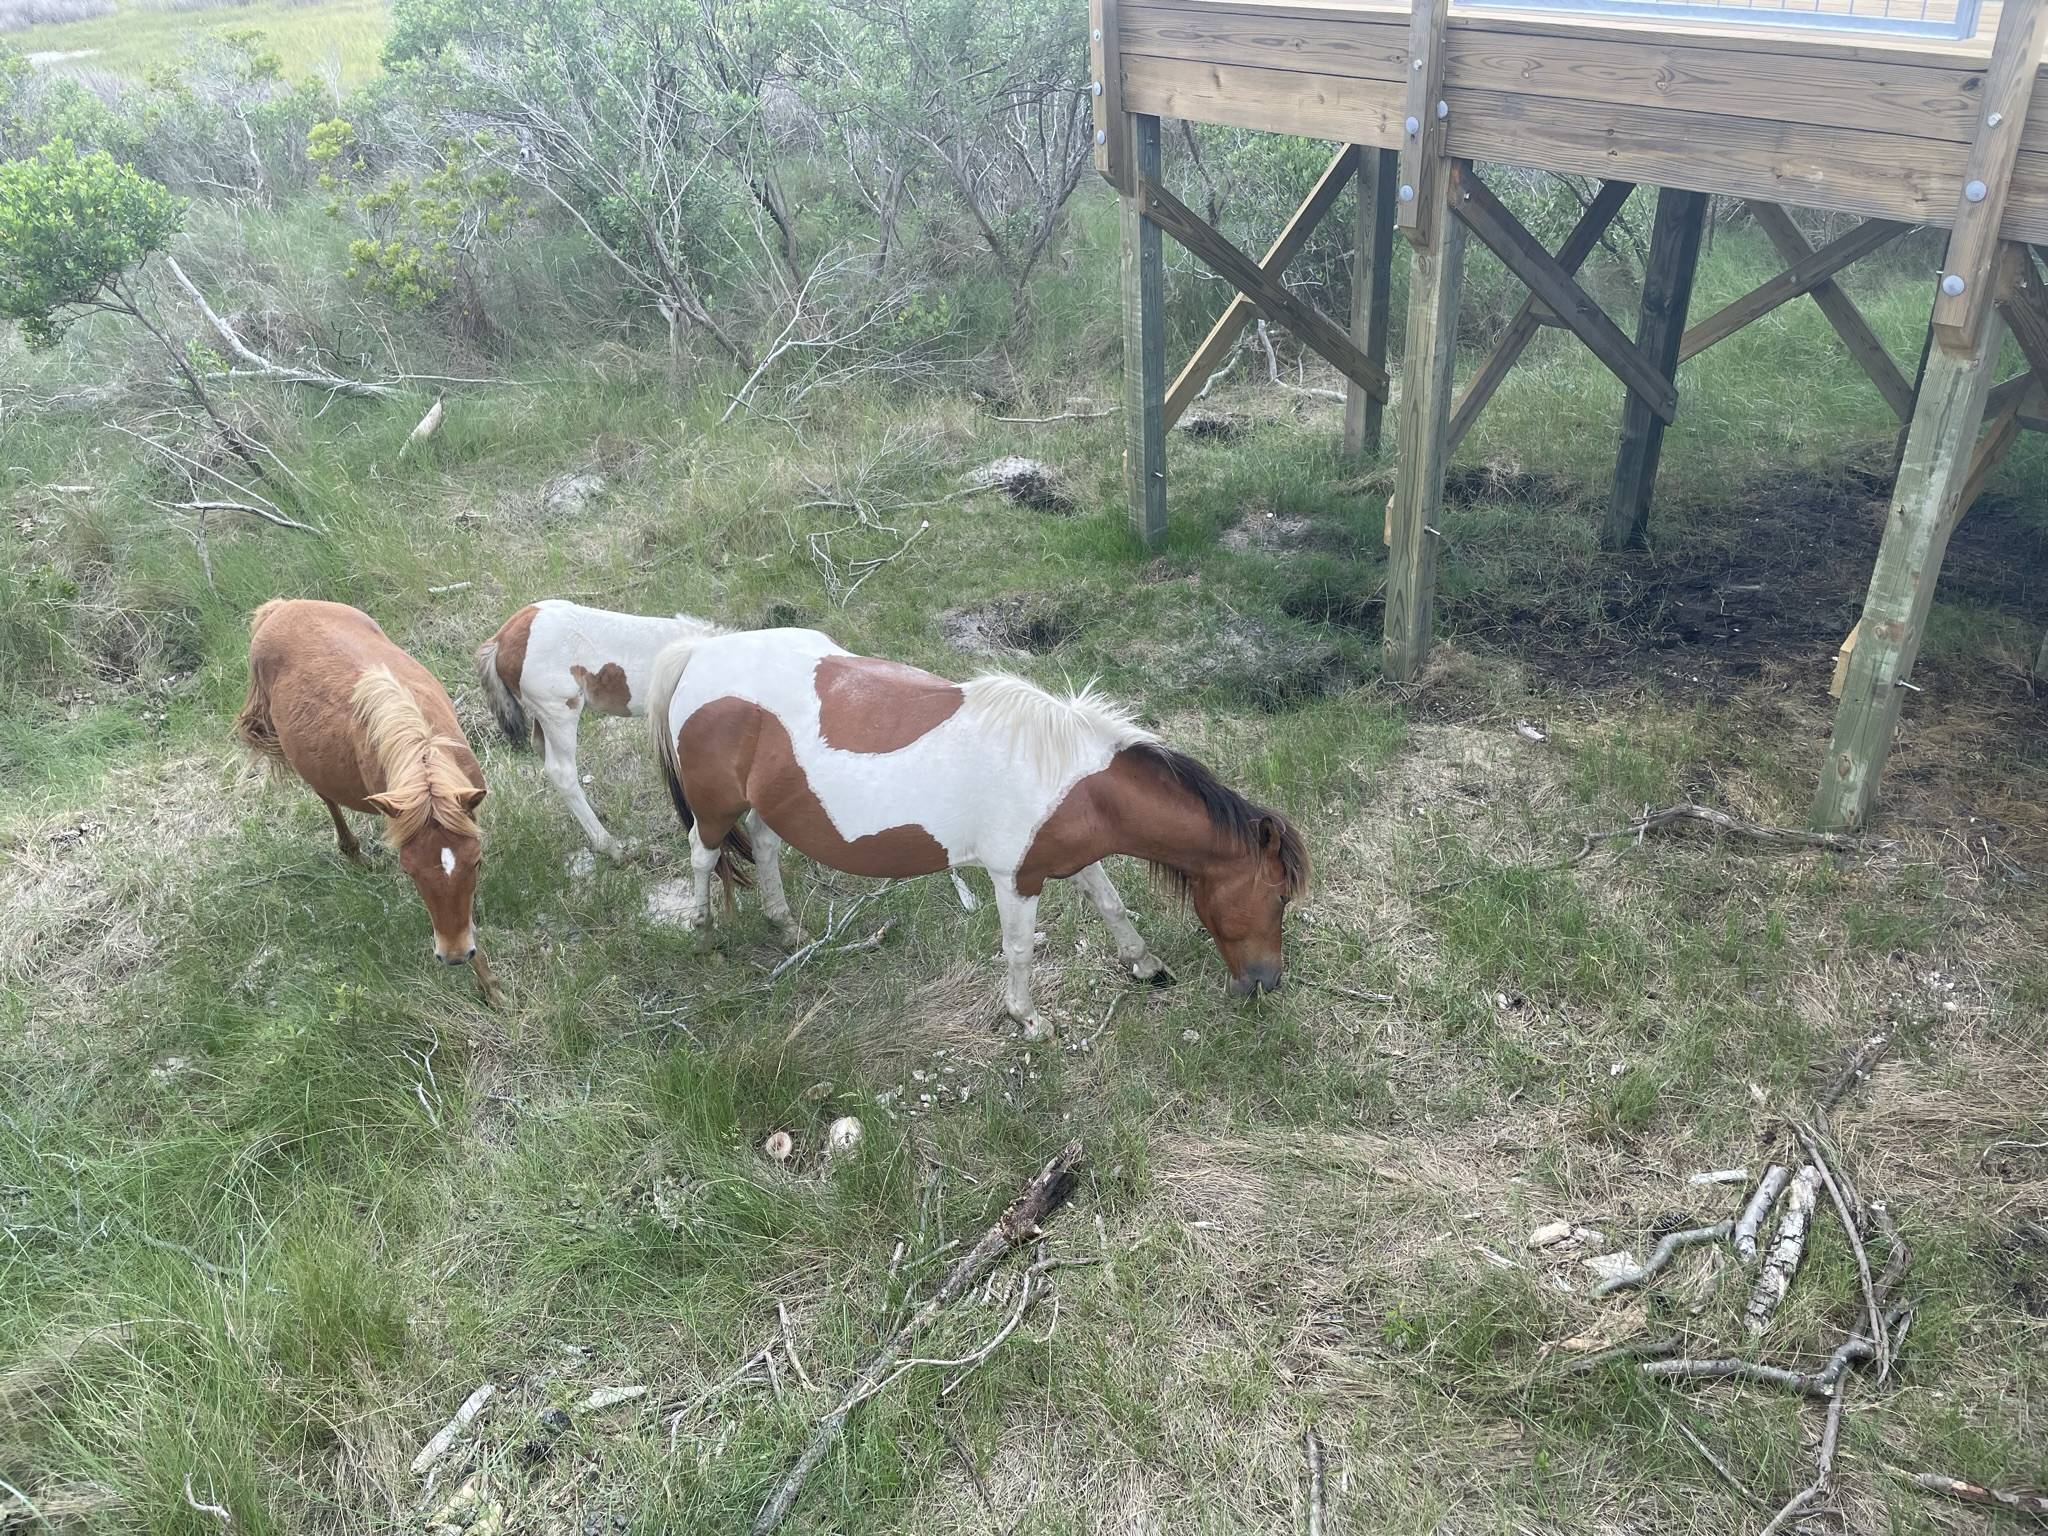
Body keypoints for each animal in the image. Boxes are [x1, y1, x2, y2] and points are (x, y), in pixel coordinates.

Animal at [237, 599, 489, 970]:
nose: (454, 956)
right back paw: (353, 853)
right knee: (327, 799)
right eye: (410, 872)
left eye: (476, 862)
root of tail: (280, 607)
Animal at [477, 600, 725, 858]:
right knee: (561, 772)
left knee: (541, 747)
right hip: (560, 712)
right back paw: (611, 846)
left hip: (545, 715)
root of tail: (499, 641)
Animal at [645, 627, 1307, 1038]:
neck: (1074, 780)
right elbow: (1018, 950)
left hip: (767, 807)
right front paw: (1029, 1021)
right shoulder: (1017, 879)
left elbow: (1114, 907)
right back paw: (704, 935)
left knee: (763, 845)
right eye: (1278, 895)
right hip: (715, 810)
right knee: (702, 856)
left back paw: (788, 930)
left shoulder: (1074, 858)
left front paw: (1144, 965)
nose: (1265, 984)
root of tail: (698, 653)